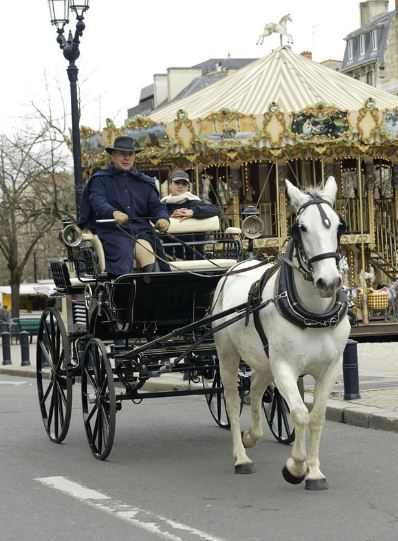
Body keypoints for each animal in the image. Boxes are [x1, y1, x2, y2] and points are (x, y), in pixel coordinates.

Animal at [213, 177, 350, 490]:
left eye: (339, 226)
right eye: (302, 227)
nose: (328, 282)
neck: (313, 314)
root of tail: (237, 264)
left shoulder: (330, 367)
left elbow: (316, 417)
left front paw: (314, 472)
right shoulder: (285, 367)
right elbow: (299, 413)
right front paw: (295, 468)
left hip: (264, 360)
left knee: (254, 389)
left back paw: (252, 436)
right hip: (227, 353)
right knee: (232, 399)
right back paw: (241, 456)